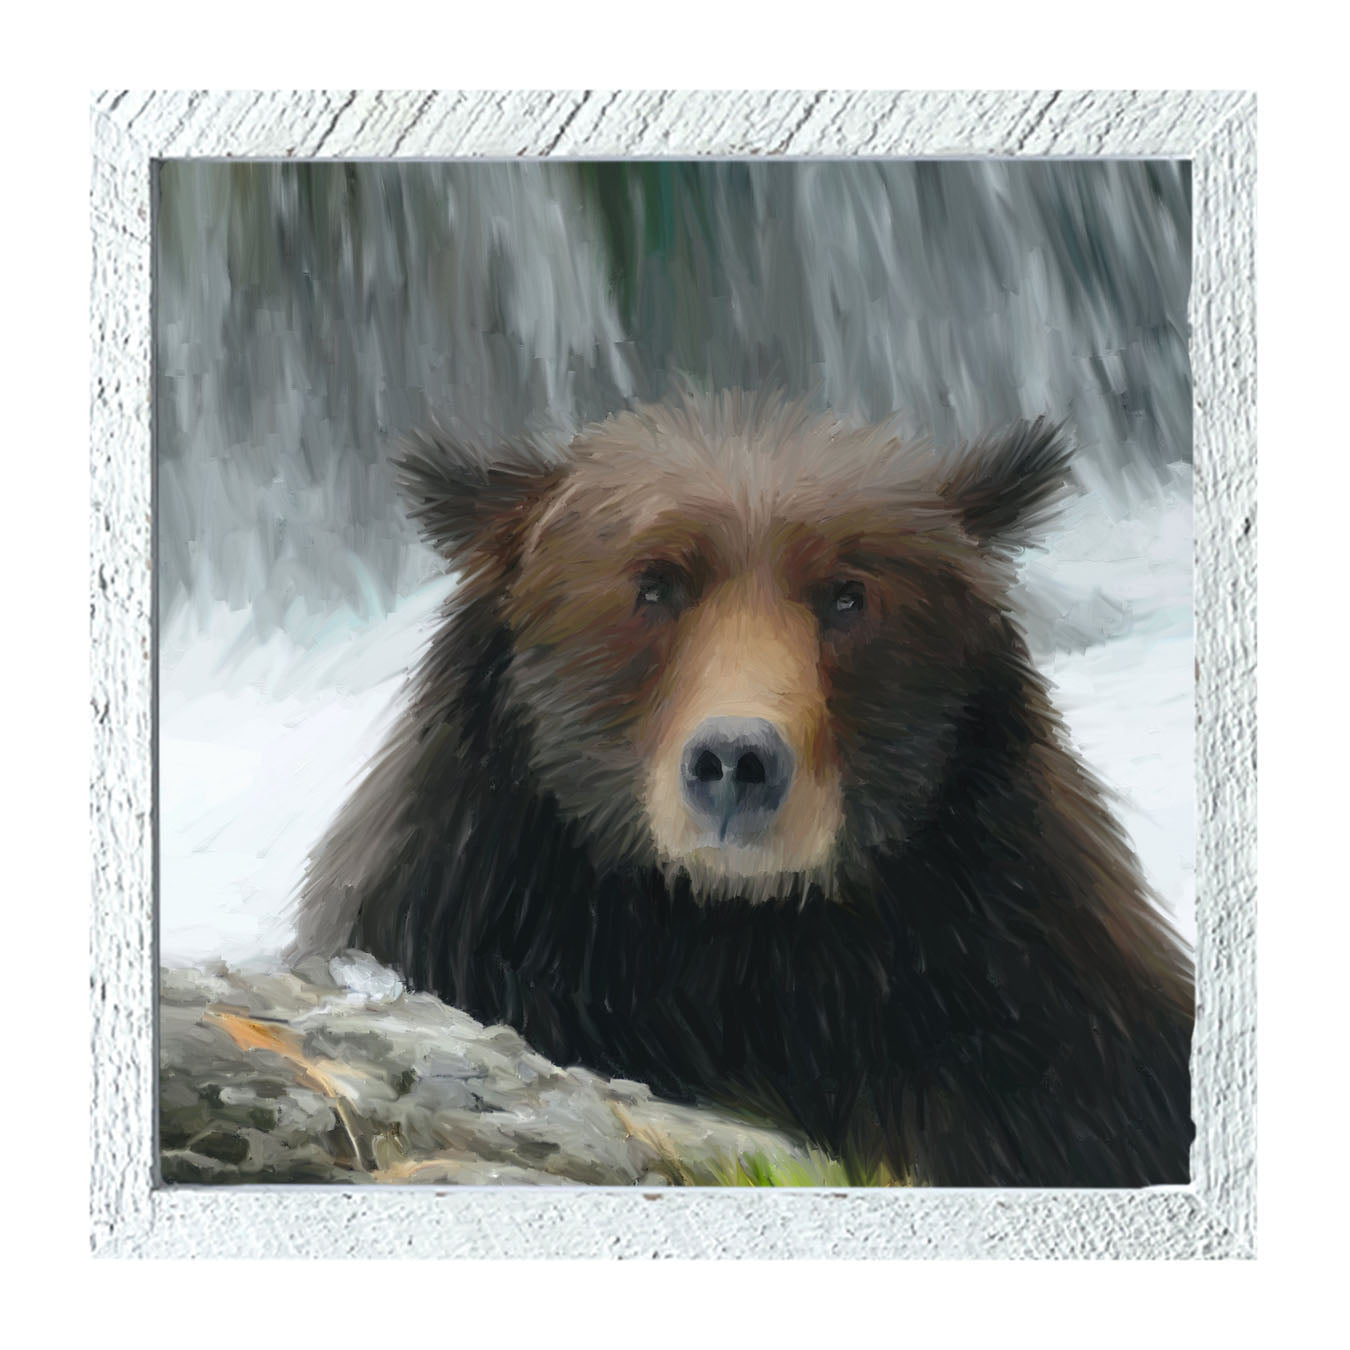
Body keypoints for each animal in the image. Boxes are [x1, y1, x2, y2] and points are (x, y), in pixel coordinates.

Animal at [293, 390, 1194, 1187]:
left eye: (848, 594)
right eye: (655, 583)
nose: (735, 762)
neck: (735, 941)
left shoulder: (1030, 1006)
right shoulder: (472, 917)